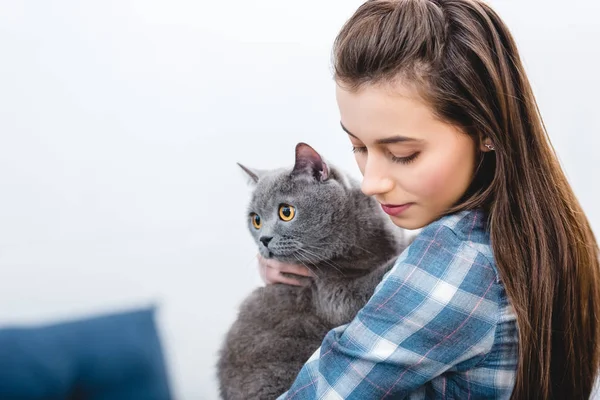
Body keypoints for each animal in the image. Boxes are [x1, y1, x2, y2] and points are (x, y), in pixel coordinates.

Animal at [218, 142, 410, 398]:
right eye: (256, 220)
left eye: (286, 212)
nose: (264, 240)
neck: (358, 242)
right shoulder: (328, 292)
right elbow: (364, 287)